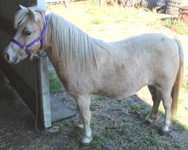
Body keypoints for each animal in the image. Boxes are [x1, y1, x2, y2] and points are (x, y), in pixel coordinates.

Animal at [4, 5, 185, 144]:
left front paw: (86, 138)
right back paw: (150, 119)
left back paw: (165, 128)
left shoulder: (83, 96)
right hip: (152, 84)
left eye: (27, 32)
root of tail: (172, 40)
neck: (76, 56)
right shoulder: (79, 96)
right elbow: (80, 113)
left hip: (164, 86)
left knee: (167, 103)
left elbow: (85, 116)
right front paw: (79, 127)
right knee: (156, 100)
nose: (7, 55)